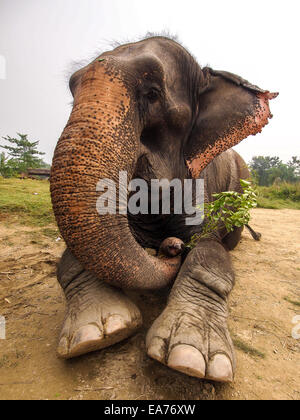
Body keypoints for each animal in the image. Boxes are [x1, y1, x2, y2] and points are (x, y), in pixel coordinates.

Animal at [50, 35, 278, 384]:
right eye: (73, 93)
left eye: (153, 94)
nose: (170, 247)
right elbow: (71, 258)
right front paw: (96, 332)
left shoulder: (202, 185)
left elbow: (209, 251)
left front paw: (192, 357)